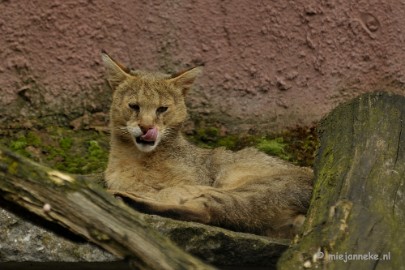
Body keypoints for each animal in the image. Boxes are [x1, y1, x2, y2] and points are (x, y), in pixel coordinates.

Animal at [101, 51, 312, 237]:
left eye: (162, 109)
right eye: (134, 106)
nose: (146, 127)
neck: (139, 157)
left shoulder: (195, 181)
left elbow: (169, 191)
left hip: (257, 188)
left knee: (208, 210)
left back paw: (124, 198)